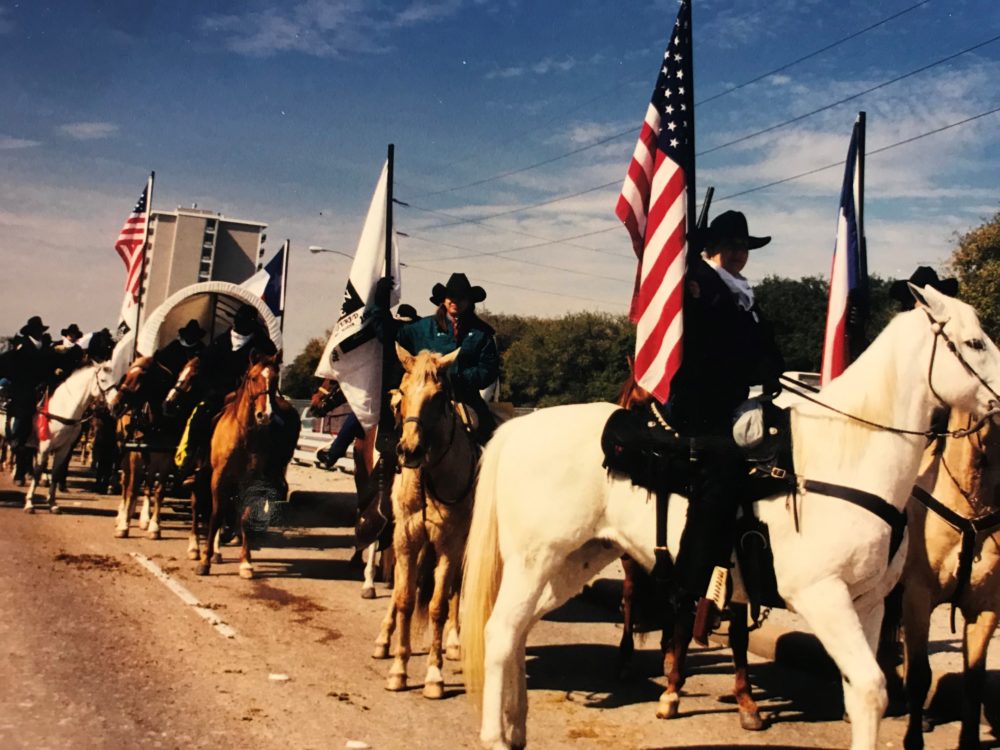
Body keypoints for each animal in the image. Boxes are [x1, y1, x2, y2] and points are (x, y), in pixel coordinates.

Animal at [24, 364, 114, 516]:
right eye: (102, 380)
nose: (115, 402)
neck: (63, 409)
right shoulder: (44, 446)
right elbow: (38, 472)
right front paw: (29, 503)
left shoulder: (64, 448)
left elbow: (56, 472)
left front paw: (52, 504)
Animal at [372, 346, 476, 700]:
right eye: (402, 392)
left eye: (439, 396)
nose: (410, 450)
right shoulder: (406, 537)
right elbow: (404, 597)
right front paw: (398, 670)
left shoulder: (450, 544)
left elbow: (437, 606)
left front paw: (434, 675)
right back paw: (383, 639)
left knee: (456, 589)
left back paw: (455, 642)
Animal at [464, 288, 1000, 750]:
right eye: (975, 343)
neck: (844, 458)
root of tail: (518, 429)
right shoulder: (822, 597)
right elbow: (870, 687)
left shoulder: (866, 604)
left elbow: (863, 694)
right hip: (534, 561)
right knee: (499, 632)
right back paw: (495, 735)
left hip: (572, 562)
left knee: (519, 630)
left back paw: (517, 727)